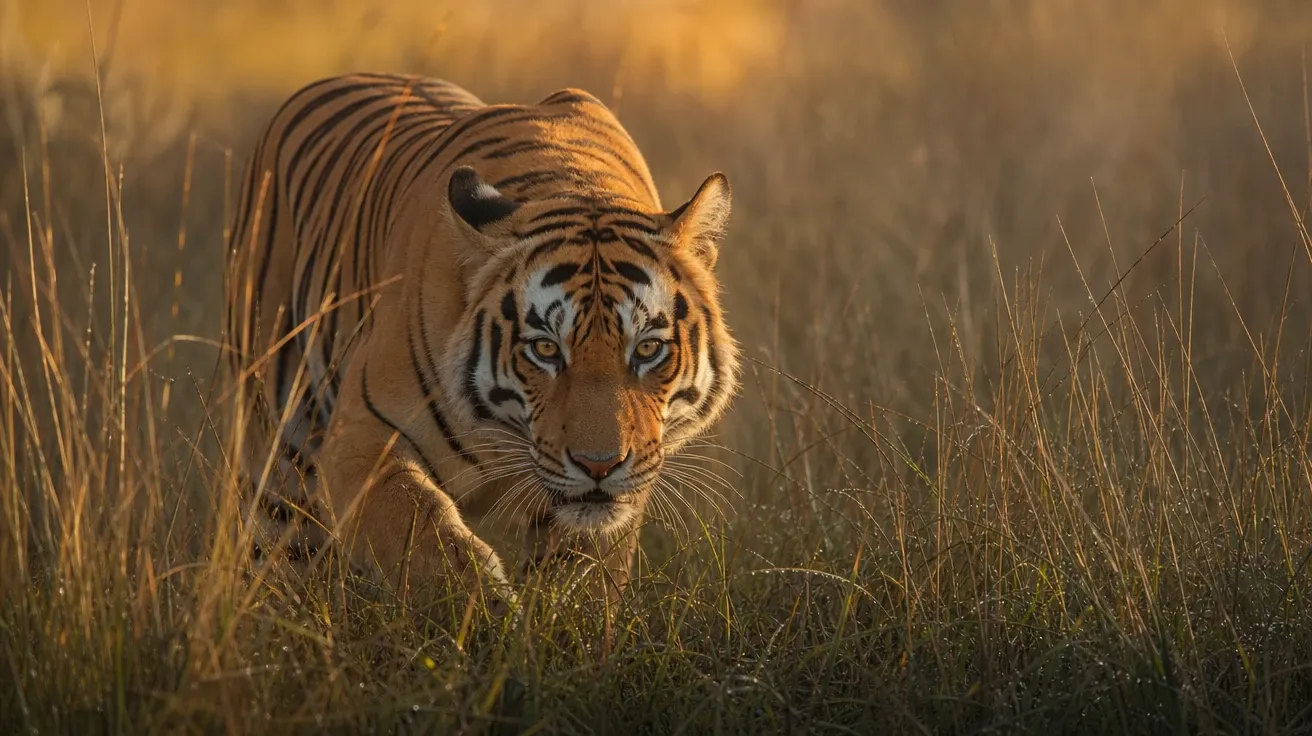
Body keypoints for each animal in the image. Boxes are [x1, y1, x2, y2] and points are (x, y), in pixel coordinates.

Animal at [223, 73, 740, 612]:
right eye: (545, 349)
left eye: (646, 349)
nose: (599, 466)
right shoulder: (359, 437)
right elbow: (424, 538)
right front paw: (490, 619)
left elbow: (583, 578)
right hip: (275, 456)